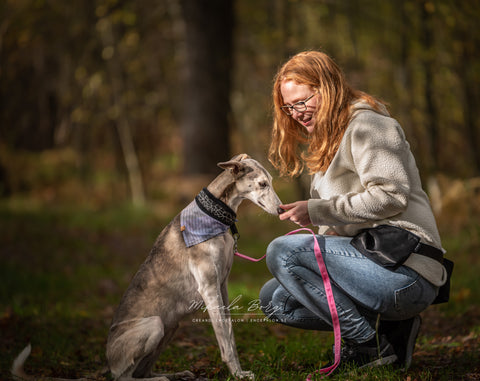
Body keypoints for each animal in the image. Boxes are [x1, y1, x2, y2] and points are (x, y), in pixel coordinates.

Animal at [13, 154, 284, 380]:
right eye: (262, 184)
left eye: (270, 181)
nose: (282, 209)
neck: (215, 214)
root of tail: (108, 361)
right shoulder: (209, 288)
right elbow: (225, 340)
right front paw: (237, 374)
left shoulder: (223, 286)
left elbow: (230, 334)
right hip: (154, 325)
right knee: (124, 378)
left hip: (169, 327)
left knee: (141, 373)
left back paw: (177, 375)